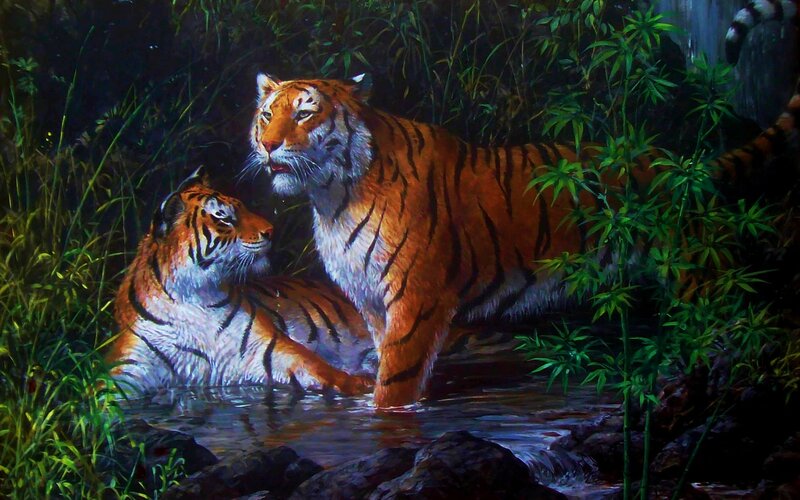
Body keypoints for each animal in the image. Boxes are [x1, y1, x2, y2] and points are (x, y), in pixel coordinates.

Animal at [108, 168, 376, 396]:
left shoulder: (270, 347)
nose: (271, 231)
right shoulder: (130, 366)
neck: (191, 298)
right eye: (225, 219)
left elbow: (325, 370)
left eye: (243, 208)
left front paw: (361, 384)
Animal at [248, 51, 799, 409]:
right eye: (267, 114)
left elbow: (396, 382)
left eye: (305, 113)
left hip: (700, 279)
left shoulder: (415, 299)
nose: (269, 145)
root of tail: (683, 164)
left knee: (738, 330)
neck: (331, 197)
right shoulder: (371, 303)